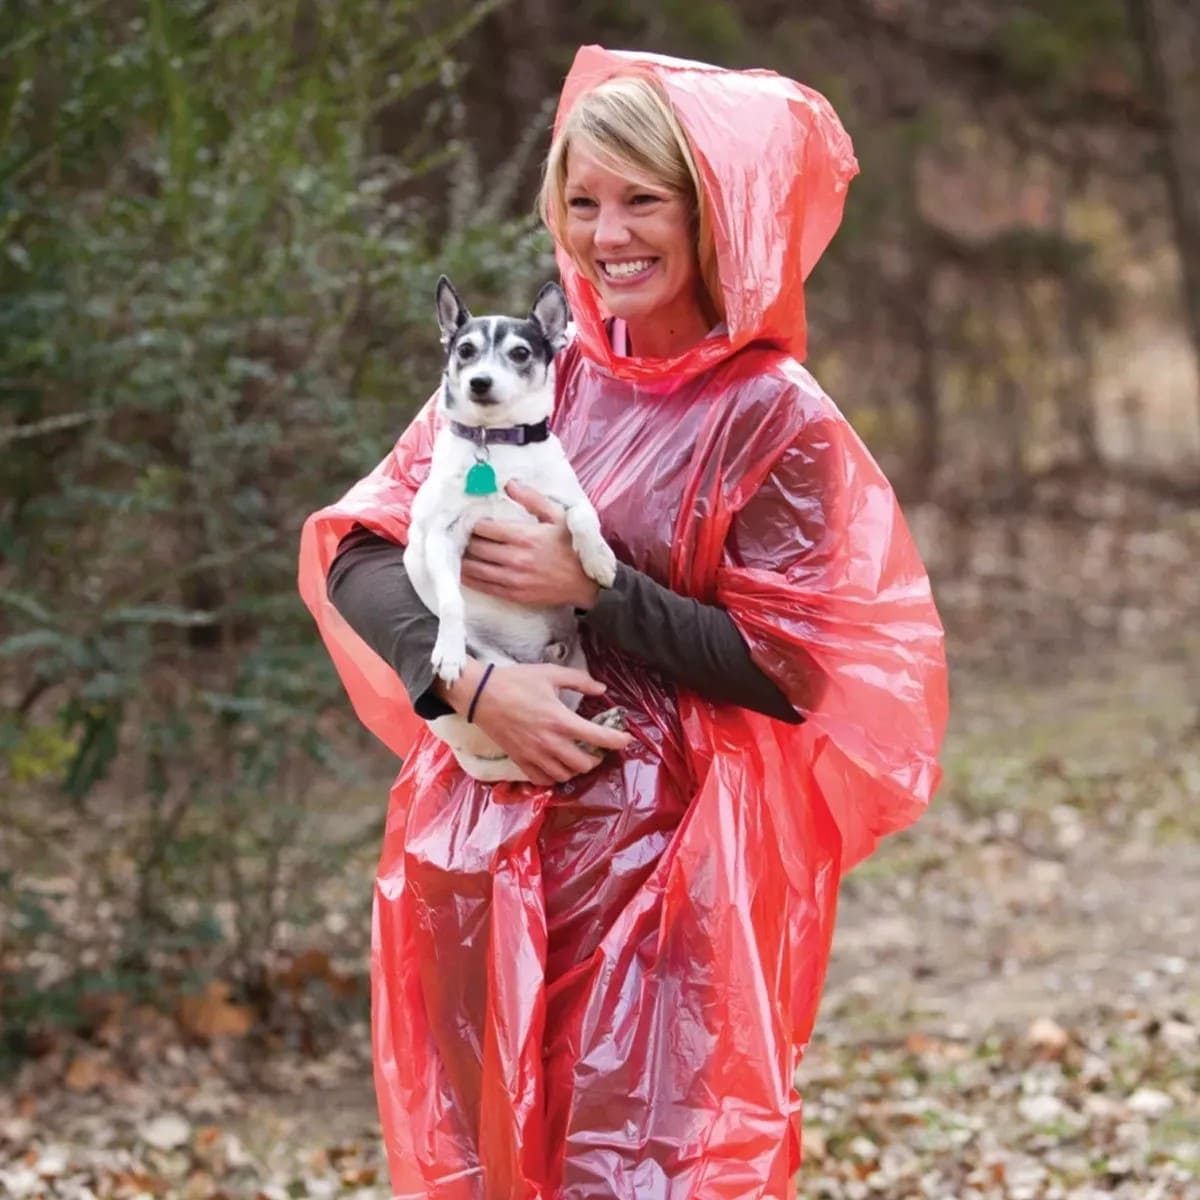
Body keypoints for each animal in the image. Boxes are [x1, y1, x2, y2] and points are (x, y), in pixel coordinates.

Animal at [405, 273, 628, 782]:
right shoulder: (442, 538)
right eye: (465, 350)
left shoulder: (565, 500)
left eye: (521, 352)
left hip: (576, 680)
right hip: (506, 675)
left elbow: (583, 517)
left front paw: (599, 561)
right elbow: (450, 600)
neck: (496, 445)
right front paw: (448, 649)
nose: (479, 381)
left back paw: (597, 734)